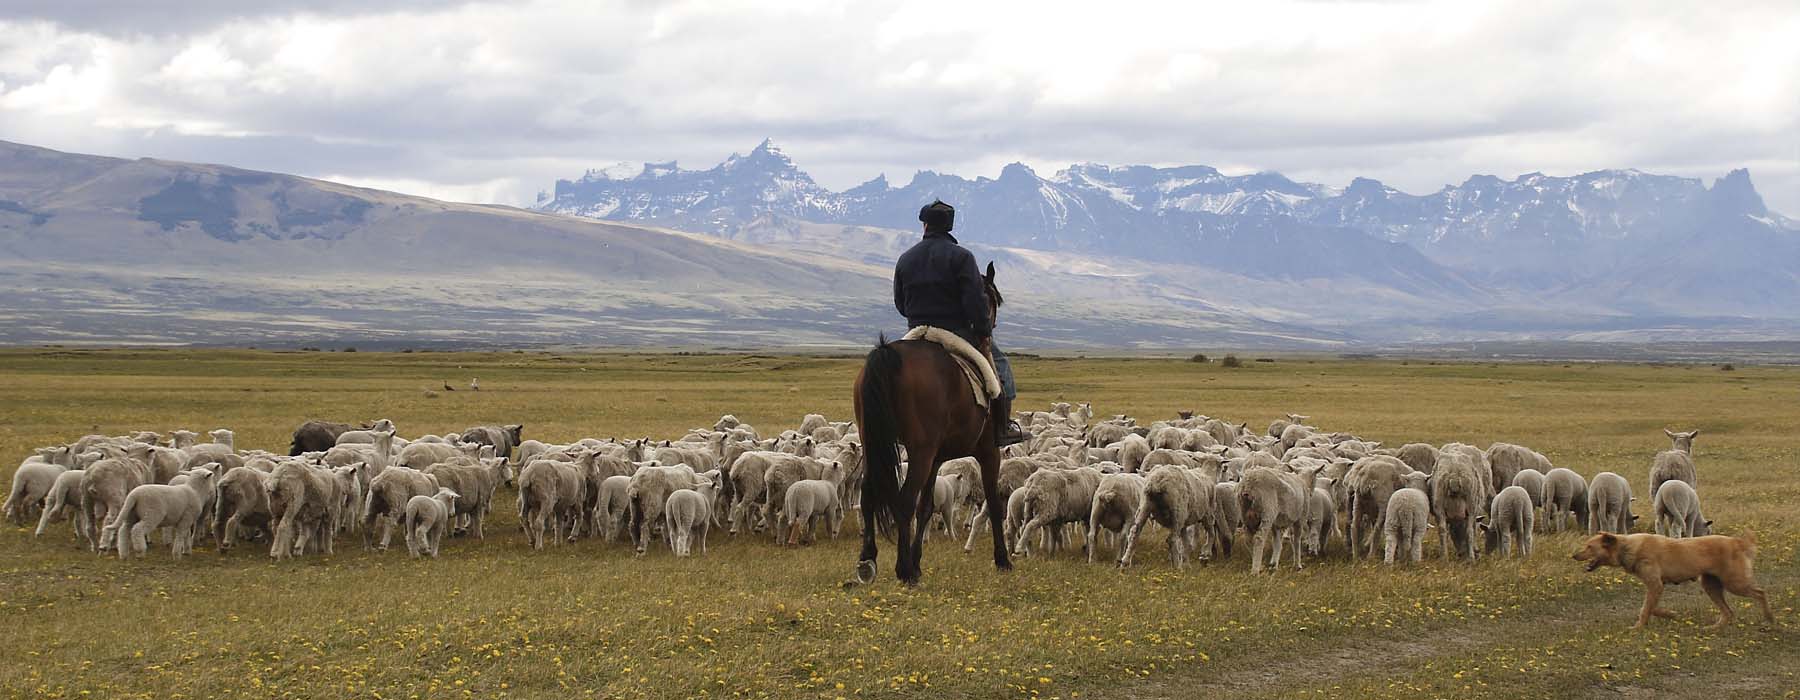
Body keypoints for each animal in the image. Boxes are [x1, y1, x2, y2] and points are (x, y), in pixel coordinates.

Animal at [846, 259, 1008, 579]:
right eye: (993, 298)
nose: (989, 332)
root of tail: (887, 354)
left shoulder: (937, 456)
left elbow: (926, 505)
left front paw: (918, 560)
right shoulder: (988, 450)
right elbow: (994, 501)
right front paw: (1002, 559)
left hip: (873, 441)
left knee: (869, 493)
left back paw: (868, 561)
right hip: (919, 449)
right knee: (904, 499)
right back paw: (903, 570)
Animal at [1576, 529, 1771, 626]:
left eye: (1589, 547)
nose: (1573, 555)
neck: (1627, 547)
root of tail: (1737, 542)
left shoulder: (1656, 585)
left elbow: (1646, 609)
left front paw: (1640, 626)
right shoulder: (1656, 586)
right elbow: (1651, 607)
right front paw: (1669, 614)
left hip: (1735, 583)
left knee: (1760, 592)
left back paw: (1769, 618)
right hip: (1711, 586)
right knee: (1728, 613)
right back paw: (1714, 628)